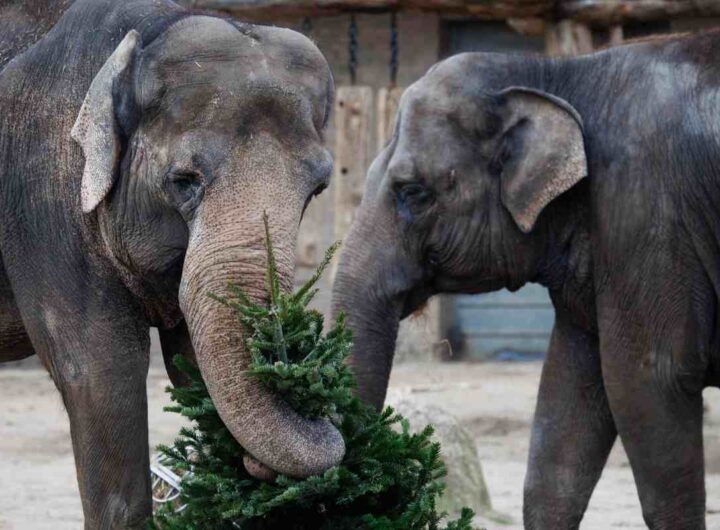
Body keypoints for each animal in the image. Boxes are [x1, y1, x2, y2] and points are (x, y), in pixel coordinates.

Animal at [0, 0, 344, 524]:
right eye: (183, 180)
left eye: (318, 189)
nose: (321, 407)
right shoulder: (44, 200)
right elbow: (101, 369)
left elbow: (196, 365)